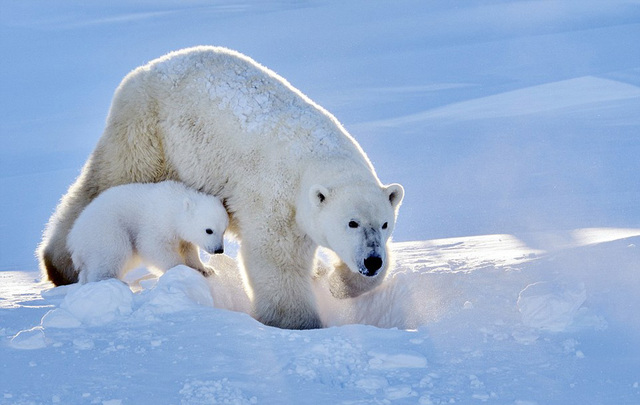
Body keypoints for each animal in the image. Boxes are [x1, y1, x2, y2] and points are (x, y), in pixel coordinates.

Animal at [67, 181, 228, 282]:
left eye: (223, 230)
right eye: (209, 230)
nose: (219, 250)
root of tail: (74, 238)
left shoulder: (181, 234)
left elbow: (188, 248)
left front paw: (206, 269)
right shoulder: (157, 224)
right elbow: (152, 246)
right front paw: (179, 269)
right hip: (107, 229)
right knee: (113, 252)